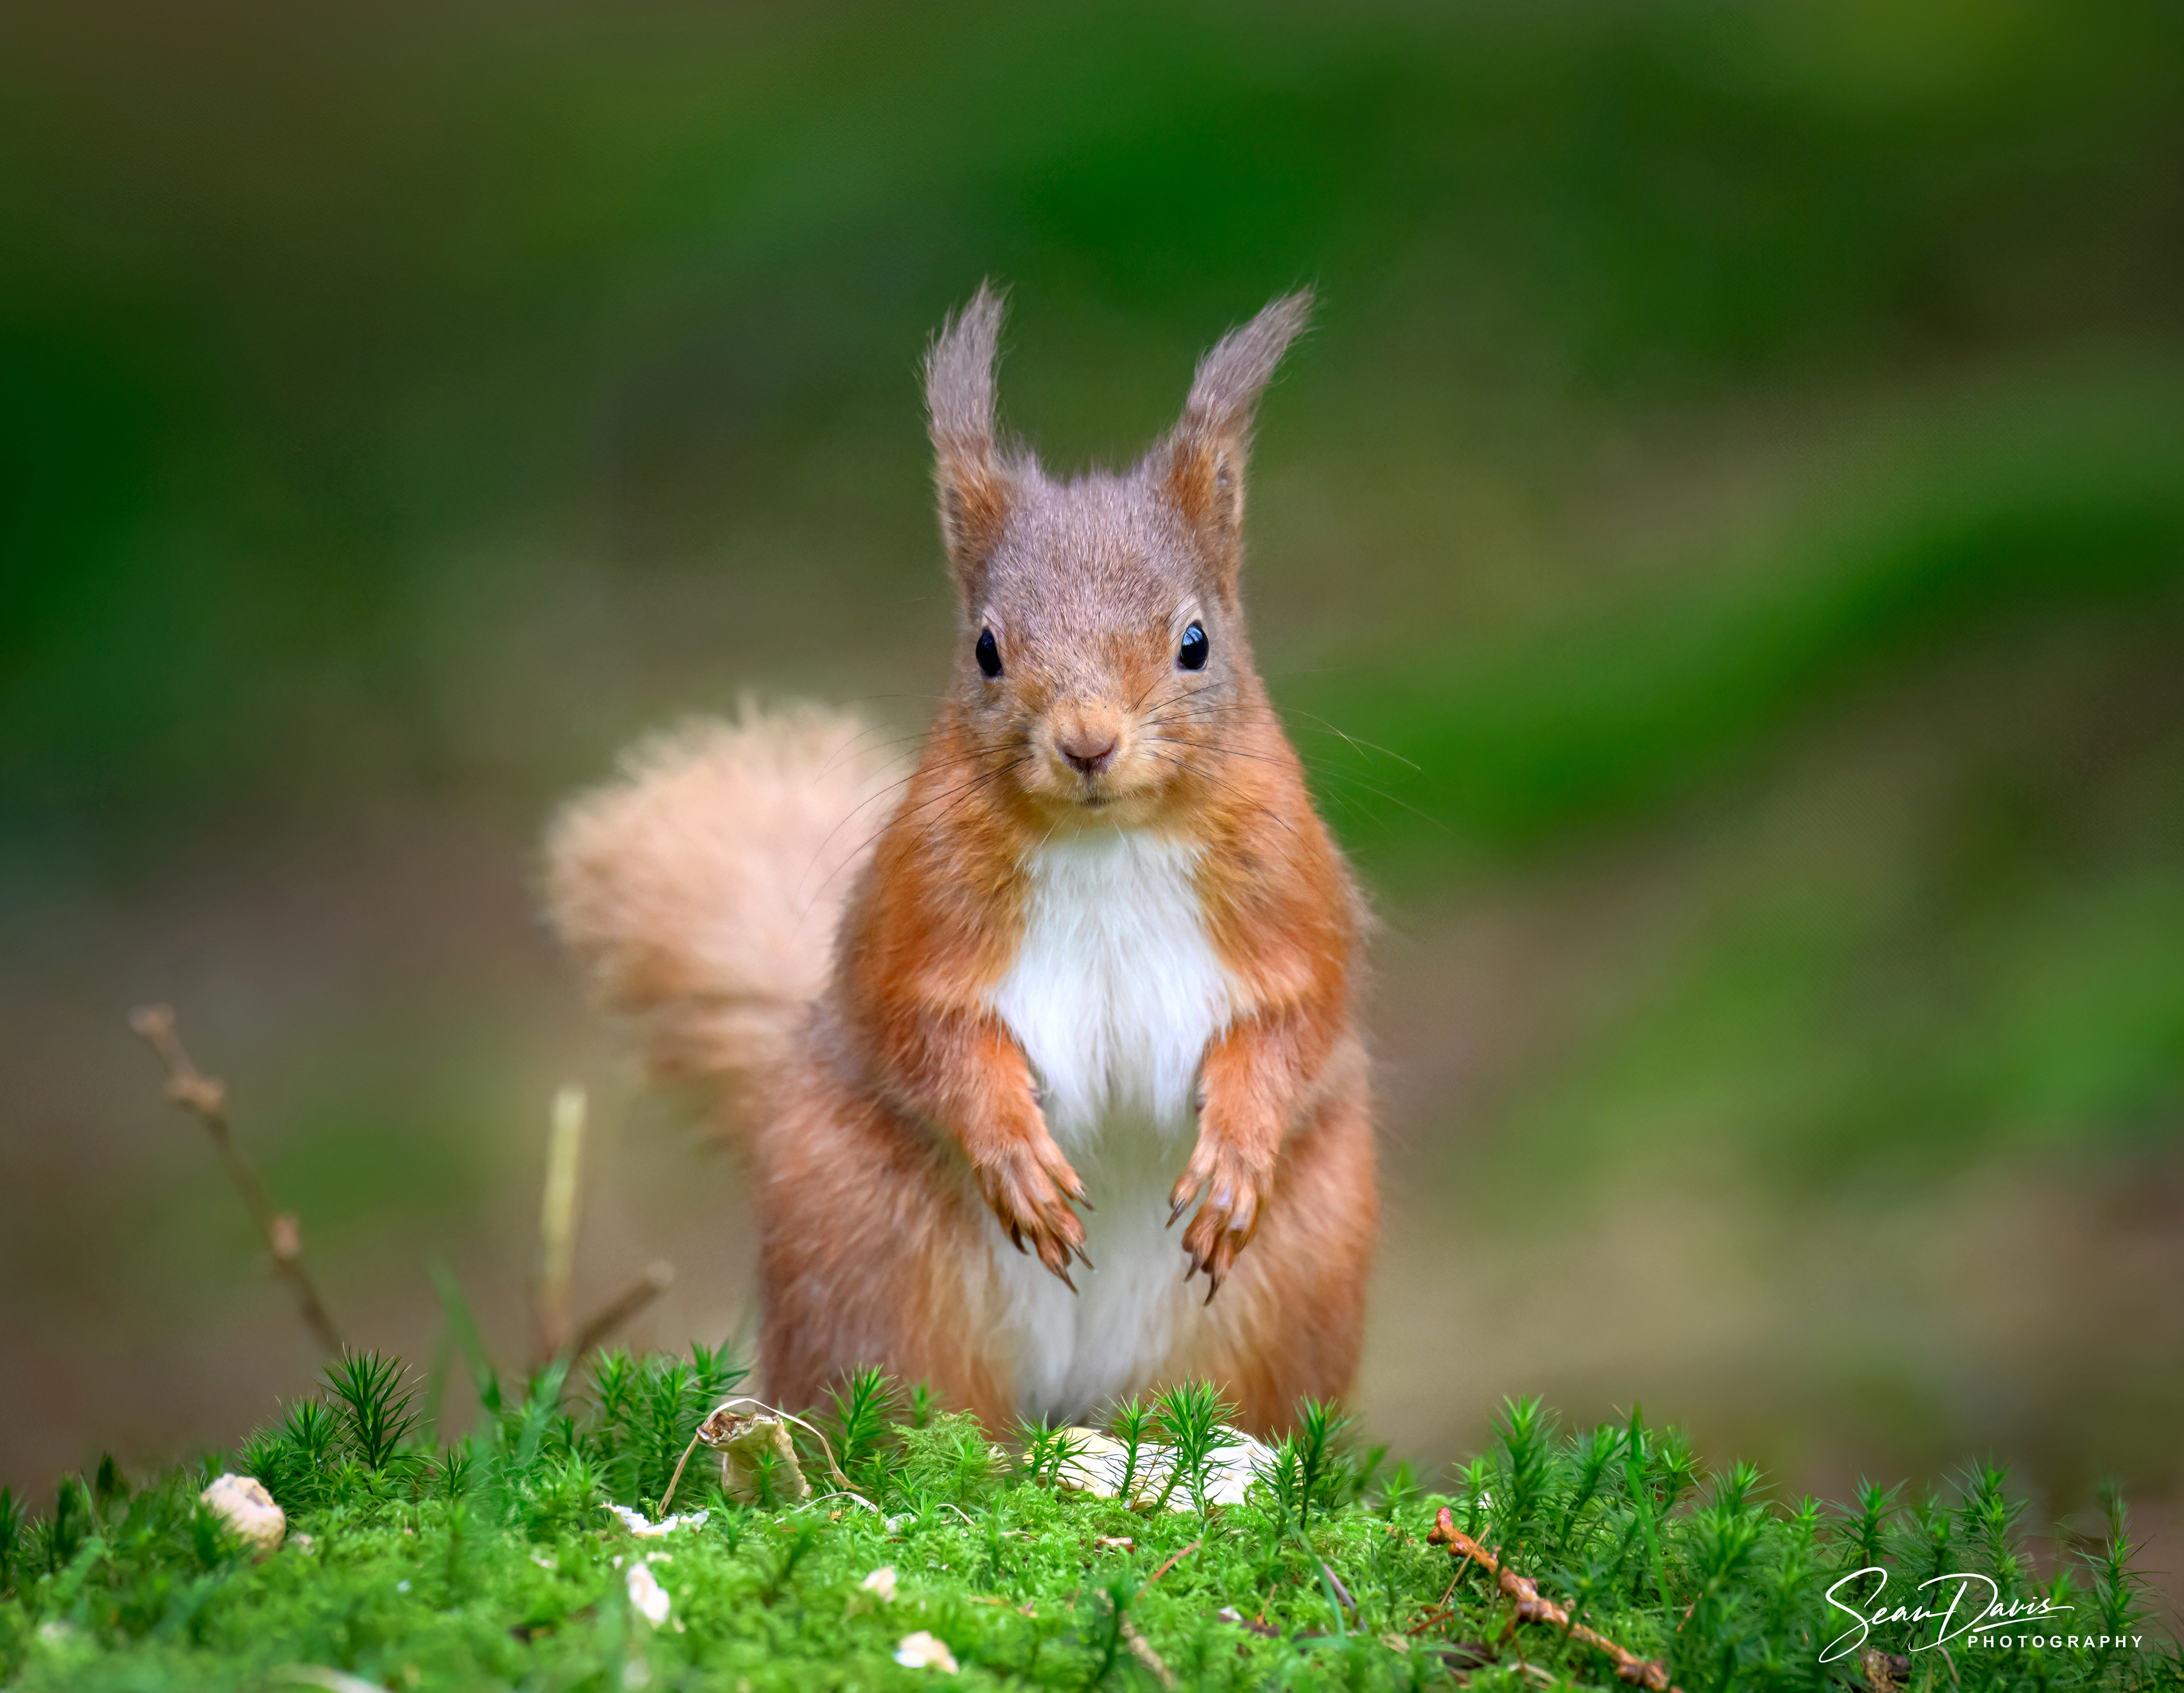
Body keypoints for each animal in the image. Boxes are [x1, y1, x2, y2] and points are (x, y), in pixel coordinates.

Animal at [546, 287, 1375, 1435]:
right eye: (986, 648)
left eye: (1196, 642)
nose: (1086, 742)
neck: (1105, 839)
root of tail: (1075, 1398)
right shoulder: (919, 909)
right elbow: (929, 1032)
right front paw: (1016, 1156)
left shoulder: (1290, 899)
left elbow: (1294, 1020)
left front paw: (1237, 1159)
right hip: (872, 1260)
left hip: (1293, 1280)